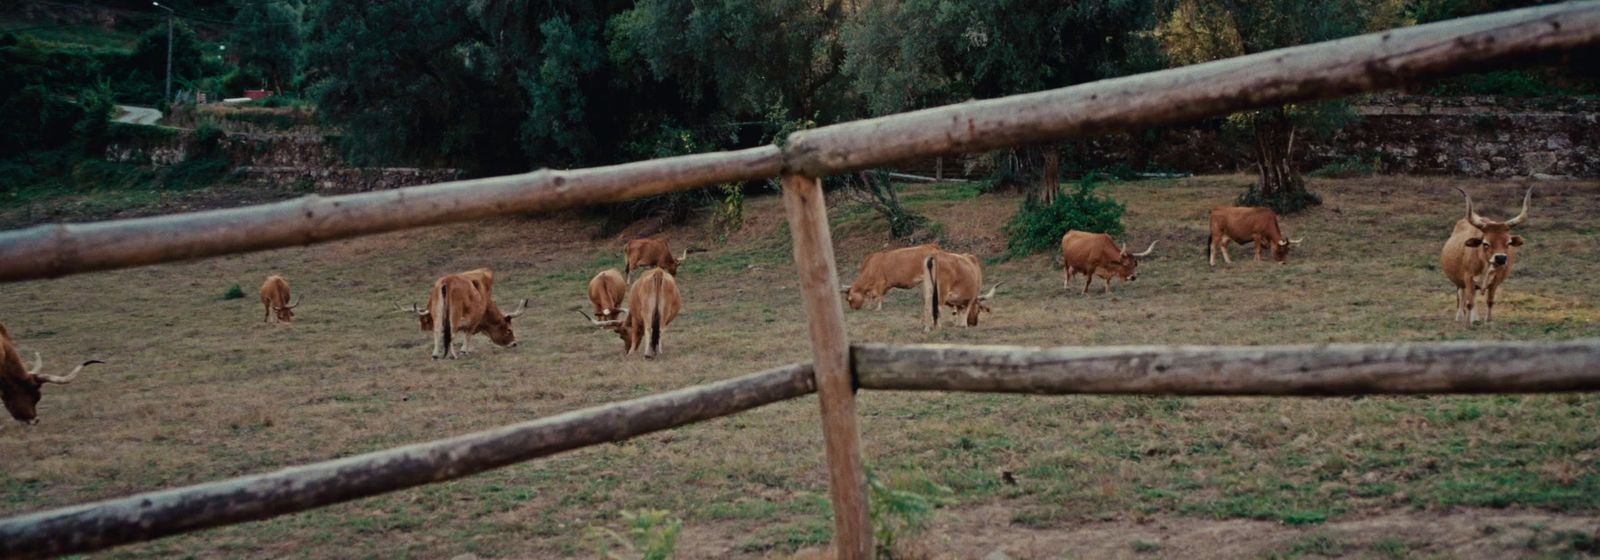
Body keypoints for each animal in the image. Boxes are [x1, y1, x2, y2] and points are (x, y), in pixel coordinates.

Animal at [398, 267, 528, 358]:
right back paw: (452, 355)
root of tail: (447, 280)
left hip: (438, 312)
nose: (514, 343)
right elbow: (467, 333)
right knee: (452, 331)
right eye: (509, 330)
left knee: (437, 330)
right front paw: (464, 350)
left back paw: (435, 355)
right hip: (455, 313)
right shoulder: (474, 320)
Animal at [1446, 187, 1529, 323]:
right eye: (1485, 242)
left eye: (1508, 242)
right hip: (1459, 281)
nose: (1500, 258)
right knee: (1461, 296)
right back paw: (1460, 317)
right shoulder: (1468, 278)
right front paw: (1467, 322)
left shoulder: (1496, 281)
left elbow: (1489, 301)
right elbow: (1469, 303)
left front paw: (1488, 321)